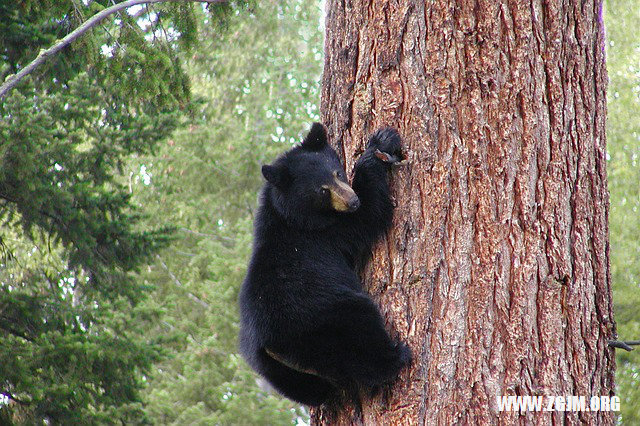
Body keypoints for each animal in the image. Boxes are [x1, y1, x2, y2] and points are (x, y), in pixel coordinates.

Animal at [238, 123, 412, 406]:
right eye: (322, 190)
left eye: (337, 173)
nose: (352, 201)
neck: (285, 214)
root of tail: (271, 347)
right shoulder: (326, 233)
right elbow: (370, 214)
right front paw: (379, 146)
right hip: (325, 323)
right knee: (360, 335)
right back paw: (397, 357)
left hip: (274, 370)